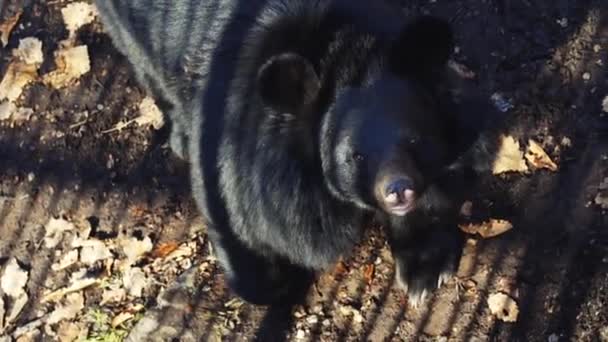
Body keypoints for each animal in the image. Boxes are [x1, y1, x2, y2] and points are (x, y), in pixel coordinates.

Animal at [95, 0, 494, 304]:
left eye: (414, 140)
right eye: (354, 156)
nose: (399, 189)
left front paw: (424, 273)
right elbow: (240, 219)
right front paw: (268, 285)